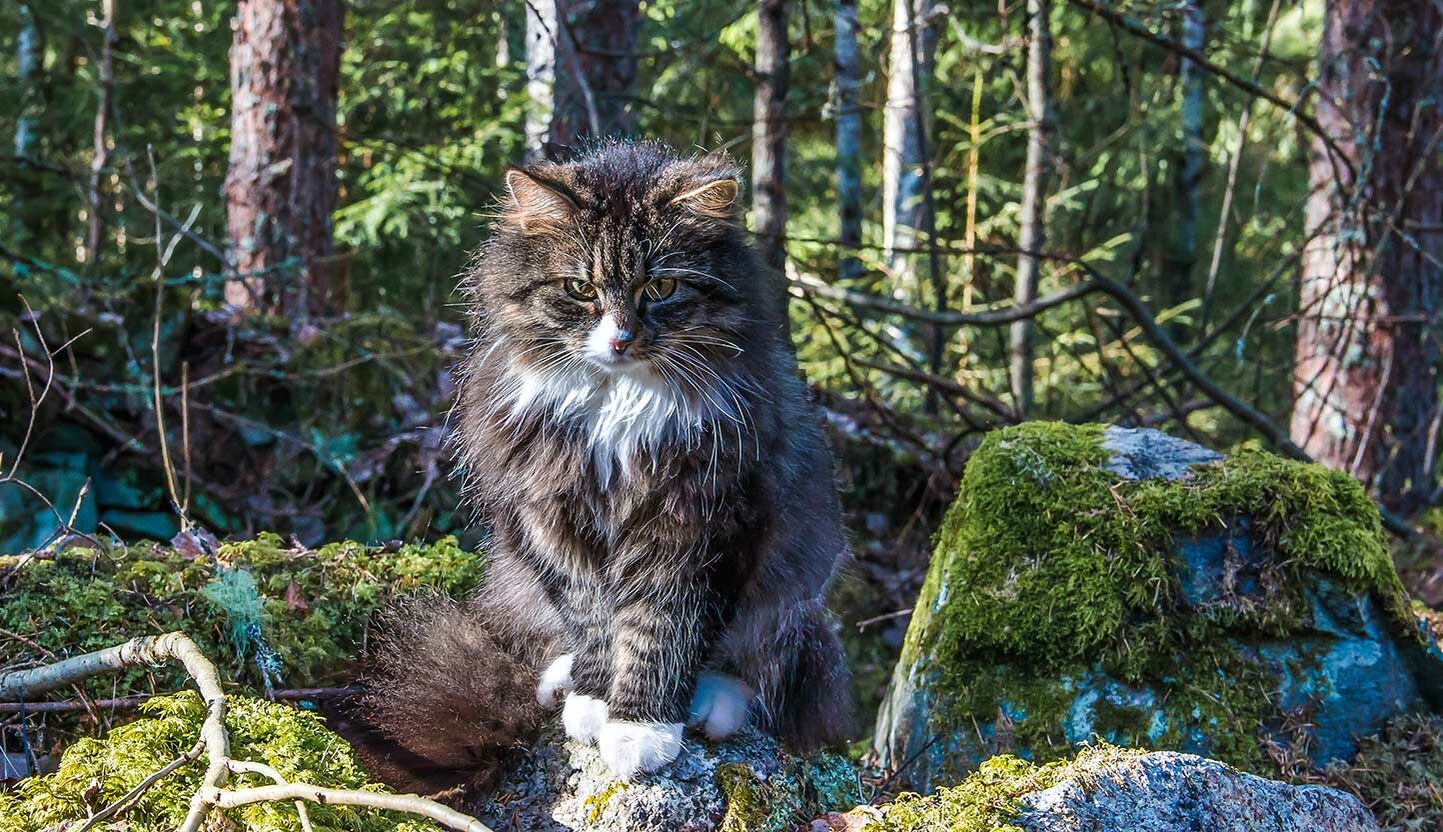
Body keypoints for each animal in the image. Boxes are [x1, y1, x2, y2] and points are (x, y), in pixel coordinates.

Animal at [366, 139, 848, 784]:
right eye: (578, 288)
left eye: (661, 288)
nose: (620, 340)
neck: (617, 409)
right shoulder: (555, 521)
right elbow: (594, 622)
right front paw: (594, 701)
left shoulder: (699, 525)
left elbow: (661, 633)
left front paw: (641, 729)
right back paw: (560, 680)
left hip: (796, 574)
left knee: (763, 657)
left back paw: (714, 703)